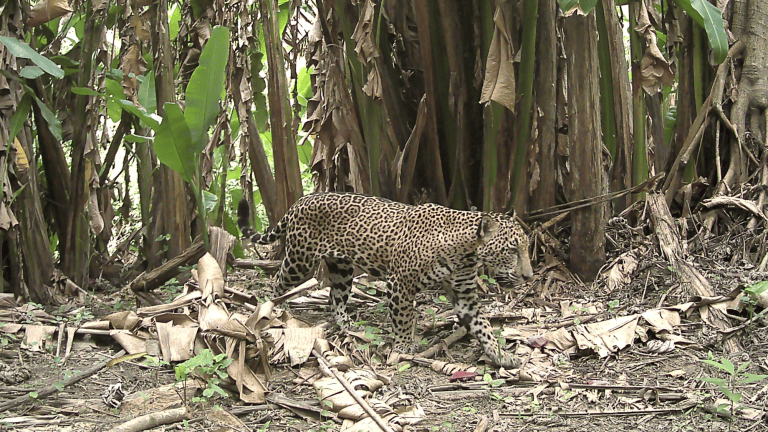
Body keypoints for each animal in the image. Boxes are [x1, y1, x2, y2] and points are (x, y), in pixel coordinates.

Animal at [237, 192, 533, 368]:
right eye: (512, 250)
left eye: (526, 248)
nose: (529, 276)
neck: (465, 251)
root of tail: (301, 200)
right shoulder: (399, 283)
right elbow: (403, 318)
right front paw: (402, 347)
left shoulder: (465, 294)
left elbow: (483, 327)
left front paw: (499, 354)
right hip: (300, 260)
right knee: (277, 281)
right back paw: (275, 311)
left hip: (342, 268)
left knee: (335, 297)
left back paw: (346, 324)